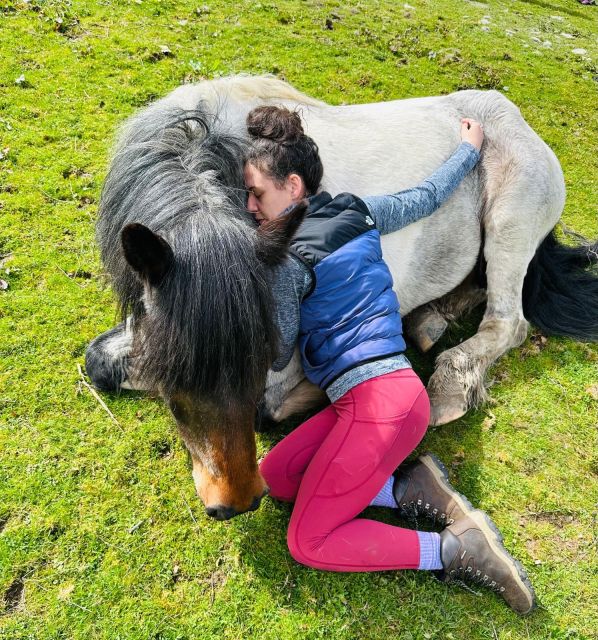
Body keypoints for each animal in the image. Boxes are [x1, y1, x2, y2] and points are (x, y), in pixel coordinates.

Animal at [85, 77, 598, 524]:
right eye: (176, 377)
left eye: (259, 357)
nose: (235, 503)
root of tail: (518, 121)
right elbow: (99, 361)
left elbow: (265, 406)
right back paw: (428, 321)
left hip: (509, 228)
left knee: (507, 321)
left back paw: (448, 384)